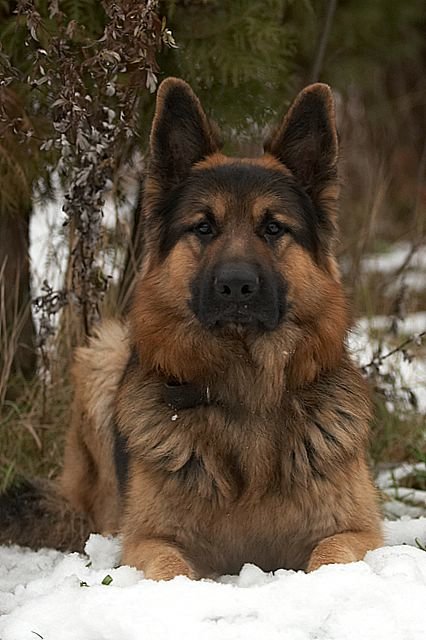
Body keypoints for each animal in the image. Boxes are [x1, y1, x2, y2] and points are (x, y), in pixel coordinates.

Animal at [1, 77, 384, 576]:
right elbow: (170, 569)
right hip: (103, 352)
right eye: (203, 227)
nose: (237, 286)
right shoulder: (149, 540)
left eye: (273, 228)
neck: (245, 392)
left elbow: (330, 559)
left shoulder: (356, 533)